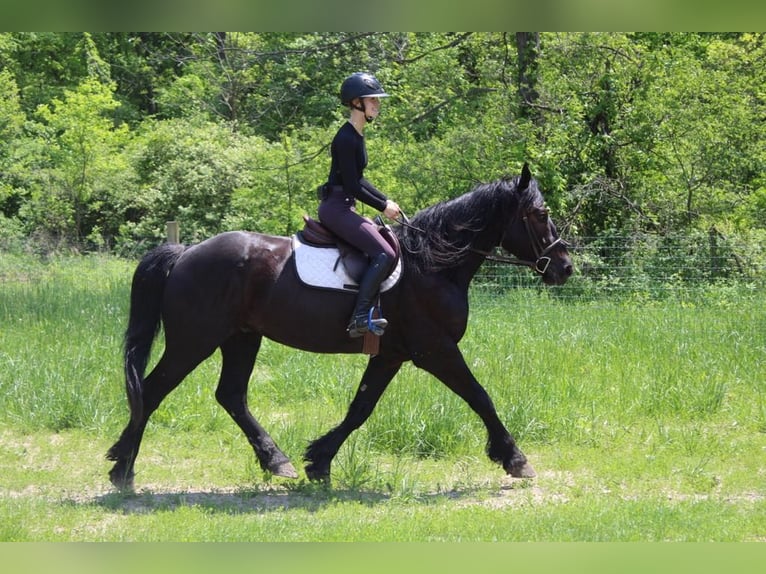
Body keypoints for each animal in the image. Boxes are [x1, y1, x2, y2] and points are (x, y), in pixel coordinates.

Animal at [109, 162, 576, 490]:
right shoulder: (436, 350)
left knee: (230, 396)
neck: (431, 263)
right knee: (152, 391)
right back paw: (123, 469)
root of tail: (186, 252)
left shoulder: (391, 354)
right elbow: (480, 396)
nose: (565, 267)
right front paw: (515, 459)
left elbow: (360, 408)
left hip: (241, 338)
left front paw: (319, 460)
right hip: (194, 341)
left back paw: (276, 461)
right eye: (541, 213)